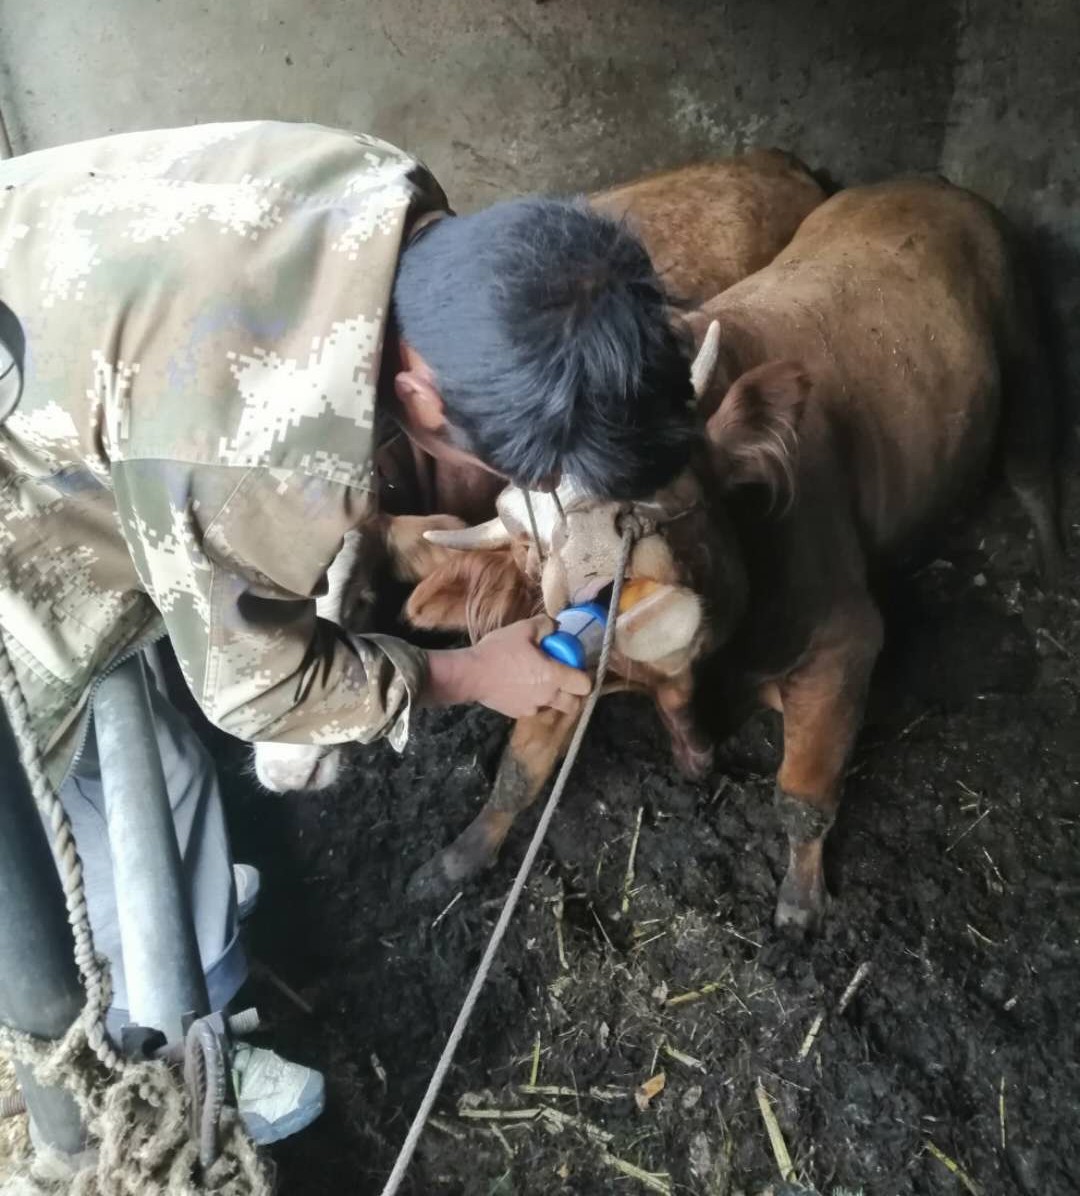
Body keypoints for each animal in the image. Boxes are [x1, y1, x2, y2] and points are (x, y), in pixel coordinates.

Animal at [410, 177, 1063, 931]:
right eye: (528, 543)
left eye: (669, 470)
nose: (599, 568)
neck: (702, 673)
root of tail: (930, 184)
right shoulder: (567, 660)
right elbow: (519, 768)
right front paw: (456, 859)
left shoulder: (846, 641)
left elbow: (803, 793)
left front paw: (801, 904)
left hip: (1028, 358)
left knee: (1035, 472)